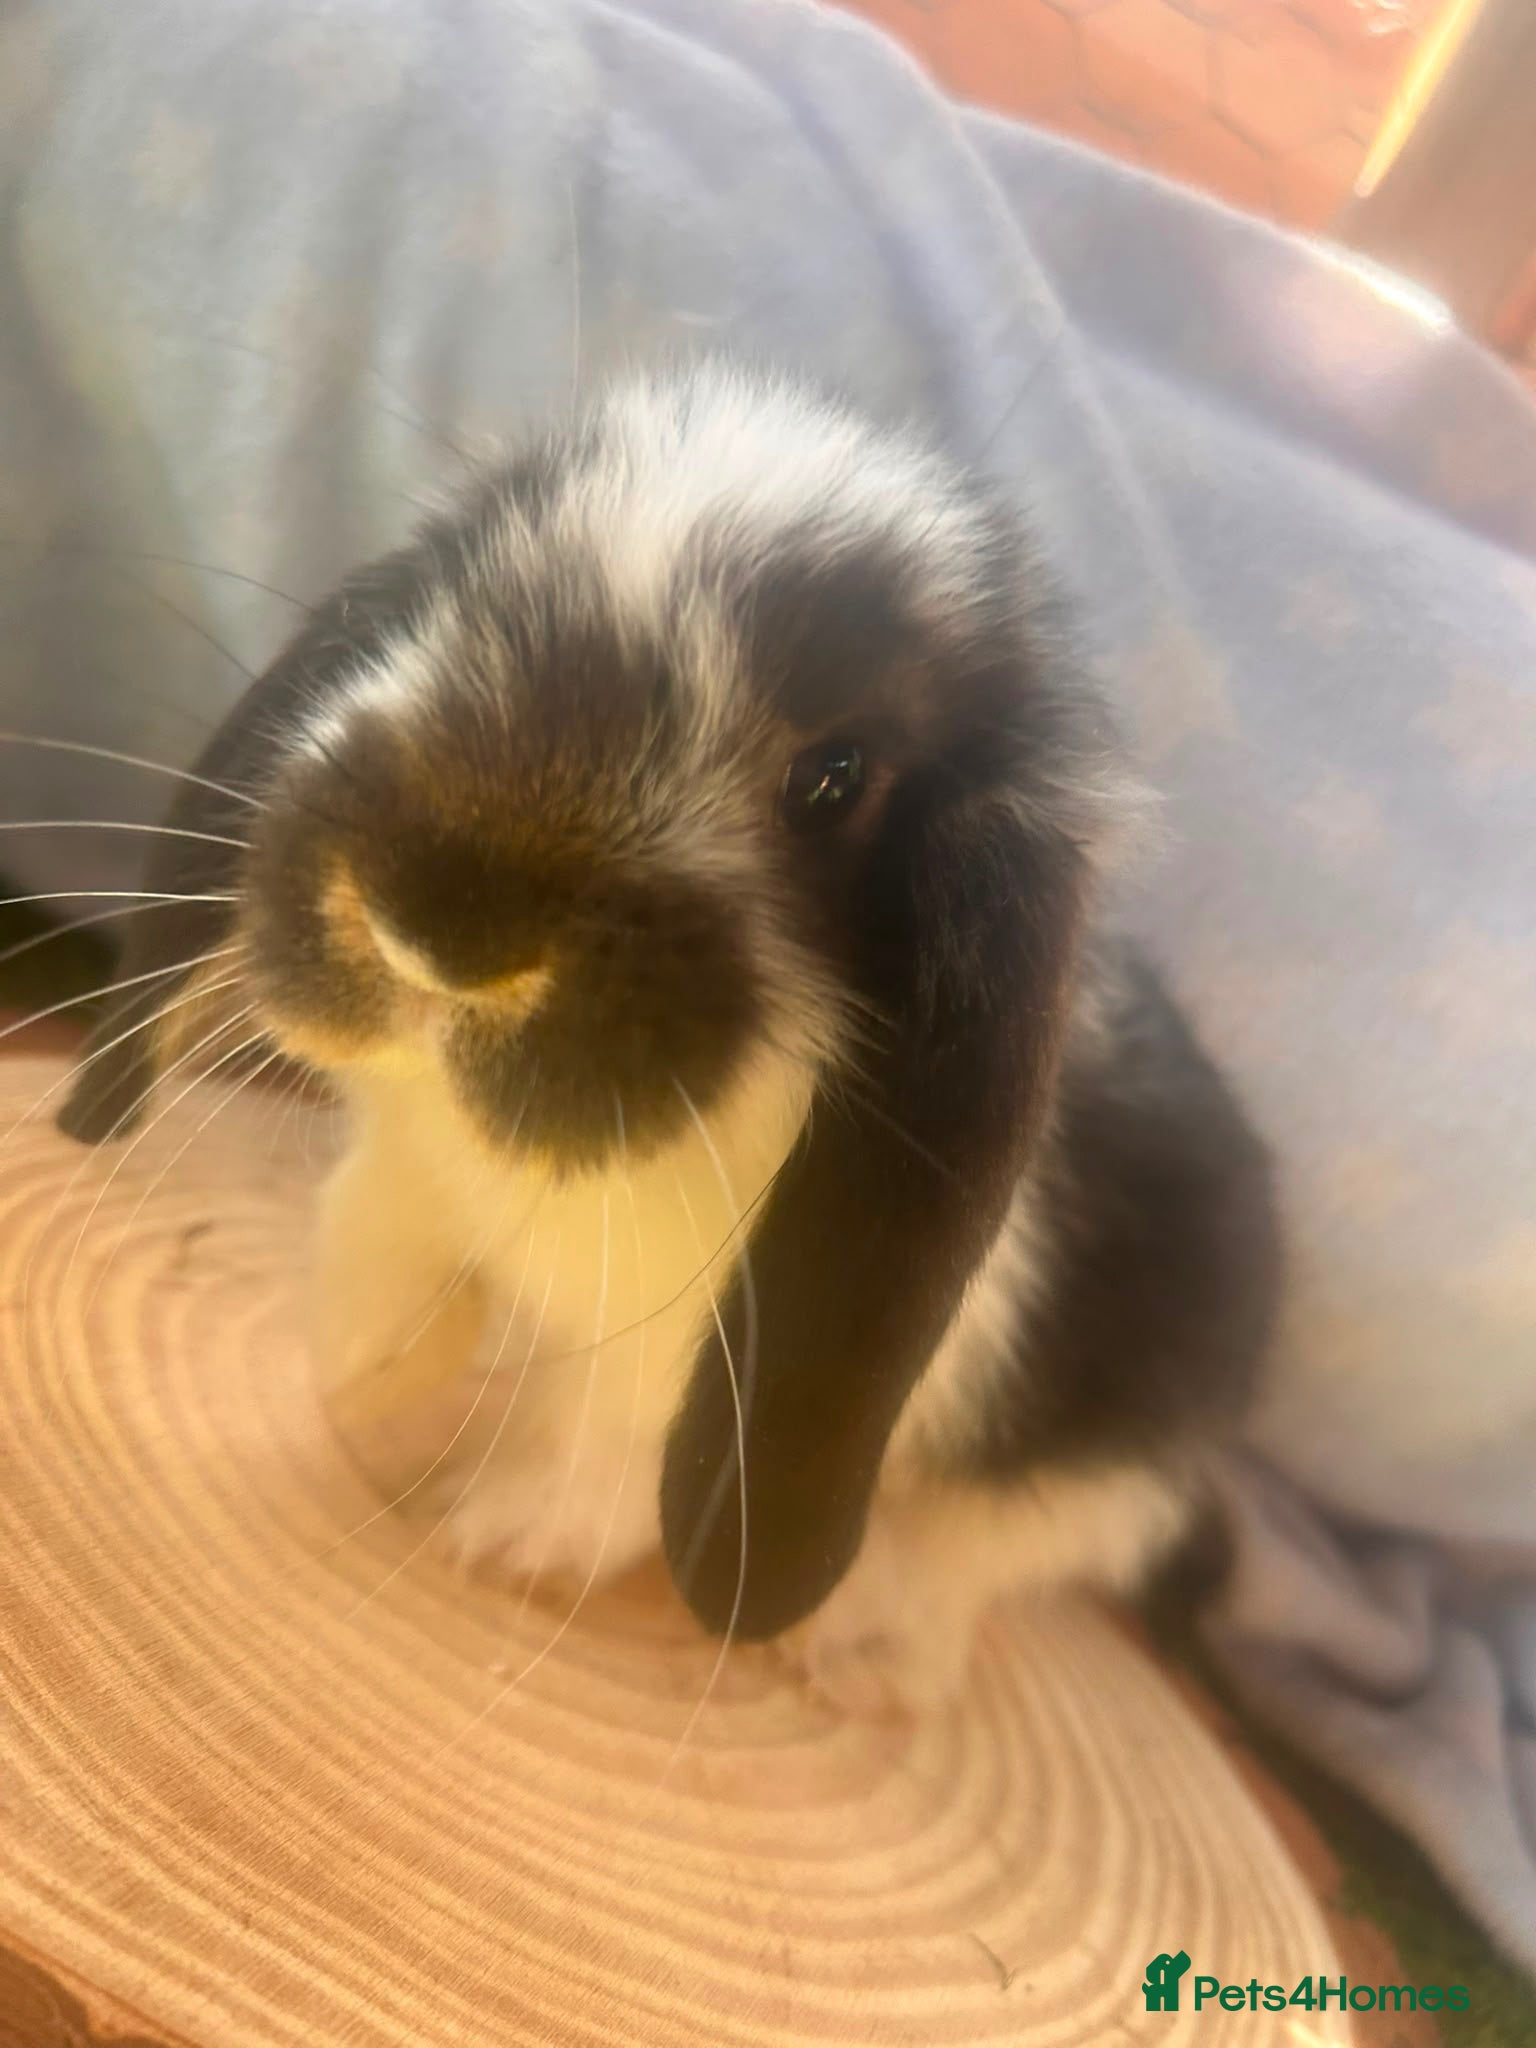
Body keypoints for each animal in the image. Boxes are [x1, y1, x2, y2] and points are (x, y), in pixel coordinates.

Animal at [58, 363, 1279, 1714]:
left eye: (834, 775)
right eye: (453, 597)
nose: (432, 924)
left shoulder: (698, 1352)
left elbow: (612, 1435)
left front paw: (514, 1529)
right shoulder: (409, 1170)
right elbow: (375, 1234)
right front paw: (365, 1364)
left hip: (1110, 1435)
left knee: (1010, 1534)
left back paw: (866, 1646)